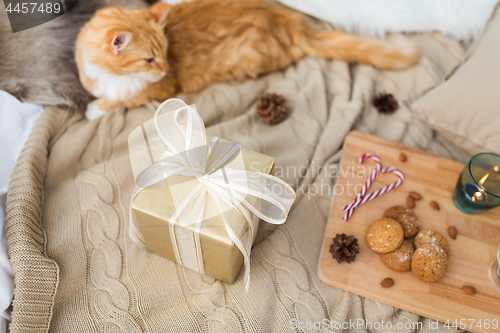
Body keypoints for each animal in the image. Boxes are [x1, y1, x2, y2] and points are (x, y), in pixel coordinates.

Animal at [75, 0, 418, 119]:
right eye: (148, 59)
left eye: (164, 54)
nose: (166, 67)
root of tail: (292, 22)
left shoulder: (157, 89)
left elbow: (120, 99)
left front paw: (93, 109)